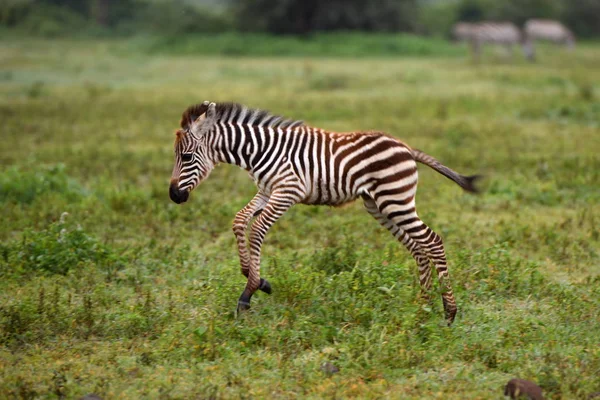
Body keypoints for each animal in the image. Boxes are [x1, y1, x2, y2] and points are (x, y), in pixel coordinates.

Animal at [171, 101, 480, 324]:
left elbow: (256, 229)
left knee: (433, 241)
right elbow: (239, 221)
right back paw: (422, 307)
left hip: (396, 200)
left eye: (186, 157)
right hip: (380, 205)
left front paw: (250, 291)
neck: (258, 151)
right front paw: (255, 277)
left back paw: (449, 312)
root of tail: (405, 147)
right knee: (418, 247)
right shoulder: (267, 191)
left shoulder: (288, 191)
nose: (174, 196)